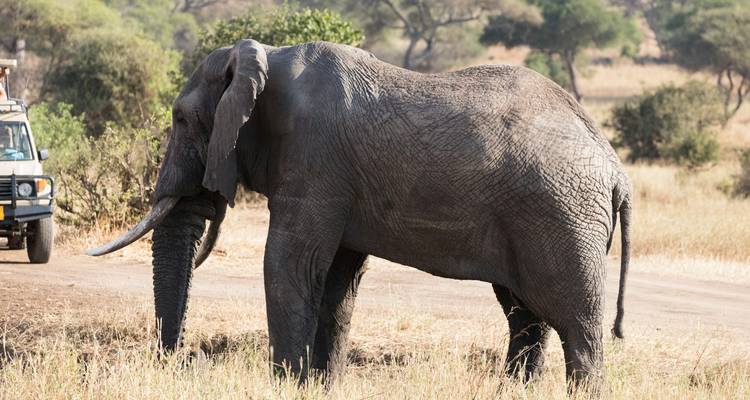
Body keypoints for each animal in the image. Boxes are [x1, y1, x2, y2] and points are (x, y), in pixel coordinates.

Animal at [89, 39, 631, 389]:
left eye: (181, 119)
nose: (177, 362)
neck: (263, 59)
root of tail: (615, 168)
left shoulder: (314, 159)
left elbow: (288, 265)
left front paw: (285, 386)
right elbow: (336, 281)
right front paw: (318, 387)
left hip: (562, 216)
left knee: (575, 325)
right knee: (525, 316)